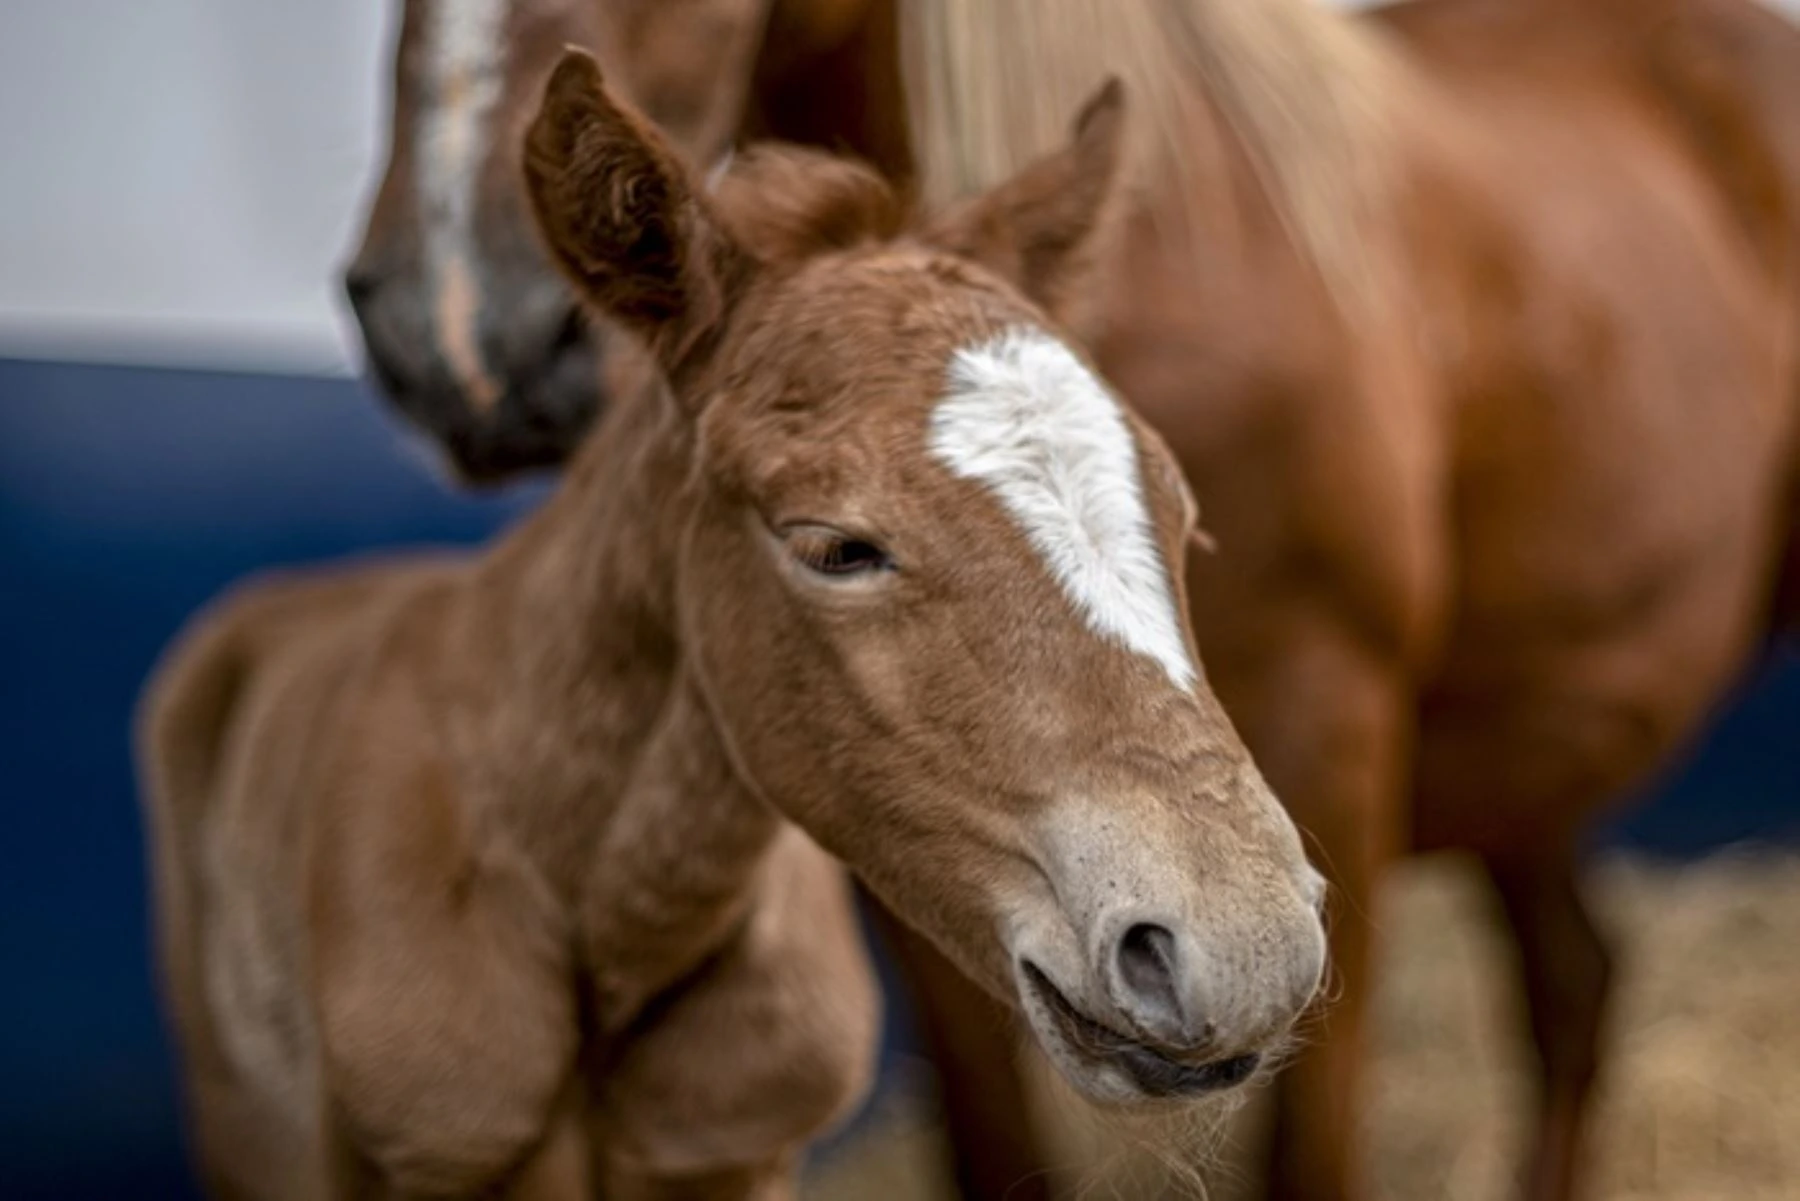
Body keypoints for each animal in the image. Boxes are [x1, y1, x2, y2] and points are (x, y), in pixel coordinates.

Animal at [342, 2, 1800, 1200]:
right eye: (833, 547)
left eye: (1182, 513)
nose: (460, 332)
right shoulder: (904, 854)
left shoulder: (1334, 756)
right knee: (1578, 987)